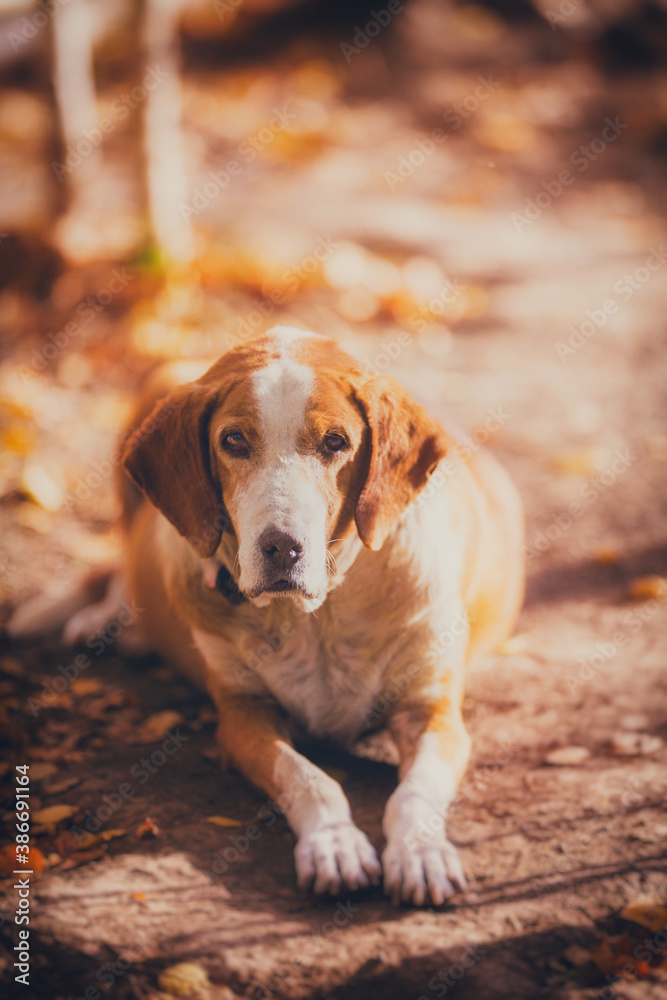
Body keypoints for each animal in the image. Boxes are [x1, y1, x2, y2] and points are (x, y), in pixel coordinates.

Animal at [9, 326, 528, 908]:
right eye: (234, 440)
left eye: (336, 442)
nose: (281, 548)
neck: (316, 614)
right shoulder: (242, 717)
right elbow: (309, 779)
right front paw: (334, 843)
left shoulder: (432, 712)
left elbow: (413, 794)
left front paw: (420, 852)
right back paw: (107, 620)